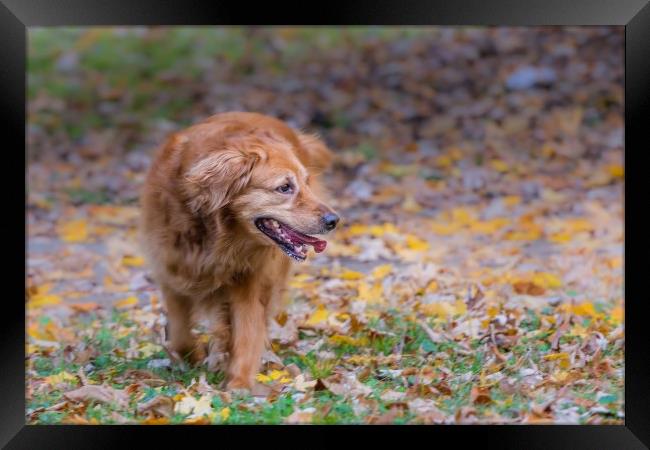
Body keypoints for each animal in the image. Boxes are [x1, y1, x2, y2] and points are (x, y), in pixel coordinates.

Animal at [138, 111, 340, 390]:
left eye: (306, 183)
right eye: (284, 187)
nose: (334, 220)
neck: (217, 235)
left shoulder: (250, 281)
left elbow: (247, 331)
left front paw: (238, 385)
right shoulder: (172, 273)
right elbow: (179, 334)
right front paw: (194, 358)